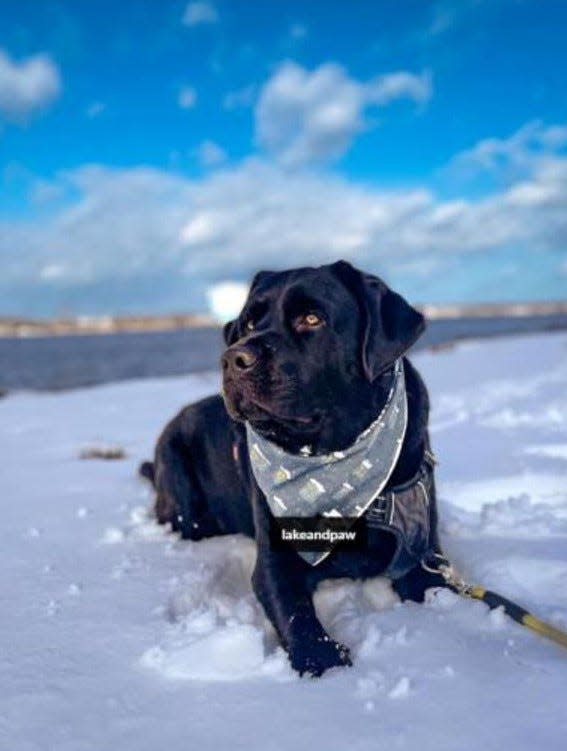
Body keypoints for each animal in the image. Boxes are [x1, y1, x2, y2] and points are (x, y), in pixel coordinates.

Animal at [142, 262, 448, 680]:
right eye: (249, 323)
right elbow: (296, 614)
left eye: (312, 318)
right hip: (180, 486)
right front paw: (325, 660)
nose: (233, 359)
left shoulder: (421, 553)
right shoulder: (275, 562)